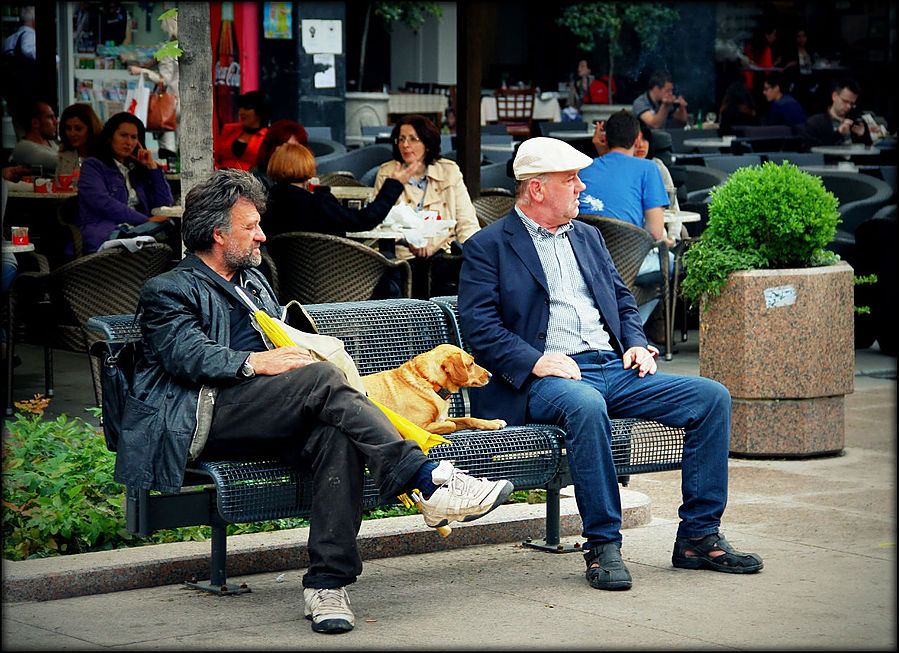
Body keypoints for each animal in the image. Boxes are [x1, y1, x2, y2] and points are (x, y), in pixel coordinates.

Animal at [364, 342, 506, 432]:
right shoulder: (419, 427)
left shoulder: (441, 419)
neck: (431, 383)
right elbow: (452, 425)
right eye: (471, 364)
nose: (490, 375)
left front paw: (493, 422)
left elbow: (468, 418)